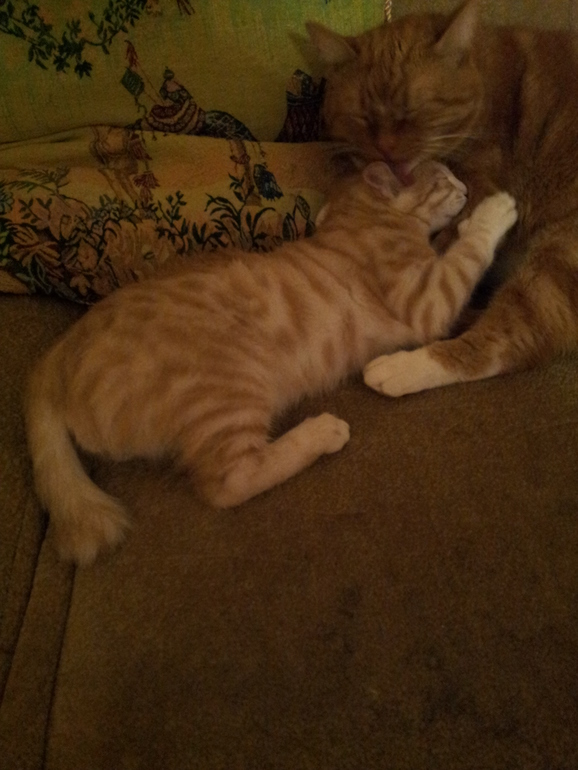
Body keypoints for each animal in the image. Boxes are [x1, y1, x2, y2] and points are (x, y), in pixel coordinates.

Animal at [25, 160, 517, 564]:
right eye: (443, 177)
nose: (465, 186)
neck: (358, 223)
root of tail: (54, 358)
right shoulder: (426, 299)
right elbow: (466, 255)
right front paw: (493, 212)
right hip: (229, 393)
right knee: (229, 482)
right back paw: (321, 432)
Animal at [307, 0, 578, 397]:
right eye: (363, 117)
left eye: (414, 113)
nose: (386, 149)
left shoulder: (477, 191)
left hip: (560, 259)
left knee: (503, 343)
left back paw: (403, 367)